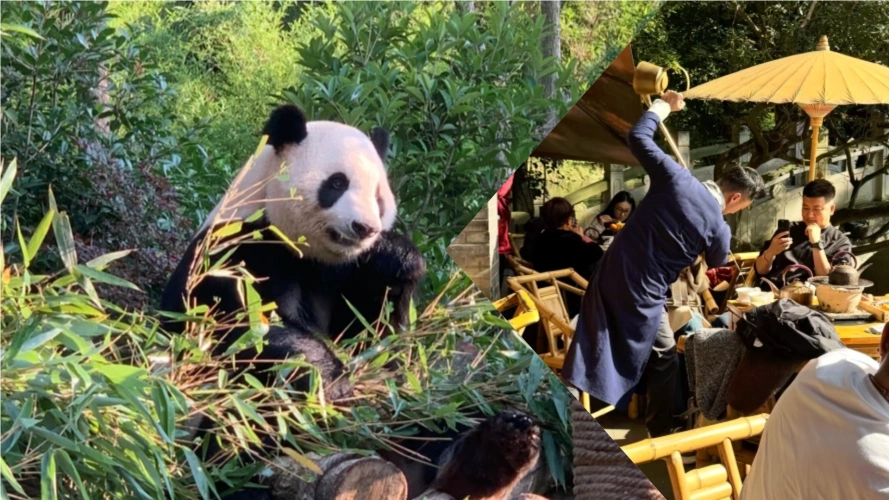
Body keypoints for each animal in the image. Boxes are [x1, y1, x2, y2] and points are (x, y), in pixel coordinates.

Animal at [159, 104, 542, 499]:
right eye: (337, 184)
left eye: (378, 196)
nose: (365, 228)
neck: (310, 253)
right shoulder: (235, 250)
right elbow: (245, 328)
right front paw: (334, 383)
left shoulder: (348, 274)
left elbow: (382, 342)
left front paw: (397, 257)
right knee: (243, 425)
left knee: (442, 417)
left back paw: (497, 450)